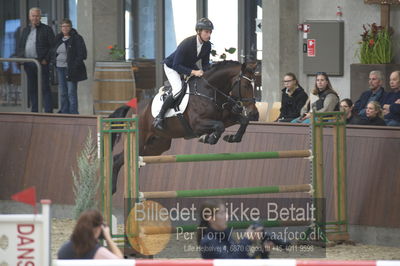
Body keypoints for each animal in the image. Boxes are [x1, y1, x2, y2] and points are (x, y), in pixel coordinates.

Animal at [108, 60, 260, 193]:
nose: (254, 113)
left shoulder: (226, 117)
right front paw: (209, 138)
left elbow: (242, 121)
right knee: (118, 159)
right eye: (246, 86)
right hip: (140, 139)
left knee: (136, 160)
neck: (210, 91)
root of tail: (132, 109)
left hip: (157, 145)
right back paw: (113, 189)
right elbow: (219, 126)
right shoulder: (197, 124)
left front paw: (232, 137)